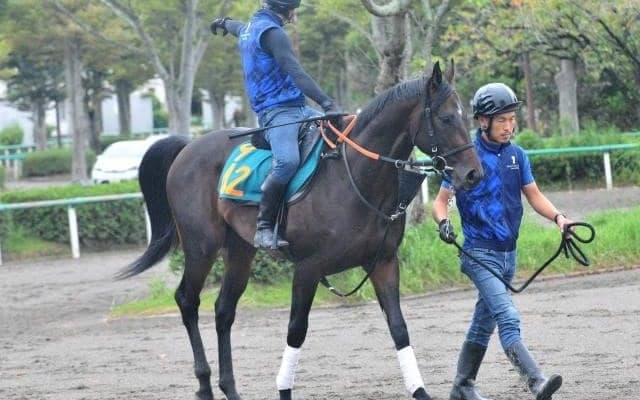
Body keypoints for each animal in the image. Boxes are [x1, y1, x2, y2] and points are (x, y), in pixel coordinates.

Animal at [121, 61, 483, 400]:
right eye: (446, 118)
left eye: (467, 115)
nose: (472, 174)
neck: (353, 179)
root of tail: (188, 146)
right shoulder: (308, 269)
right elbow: (296, 330)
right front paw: (284, 389)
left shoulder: (383, 263)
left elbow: (399, 328)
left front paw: (420, 390)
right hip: (201, 247)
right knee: (187, 300)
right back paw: (204, 384)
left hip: (239, 250)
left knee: (223, 310)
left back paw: (230, 388)